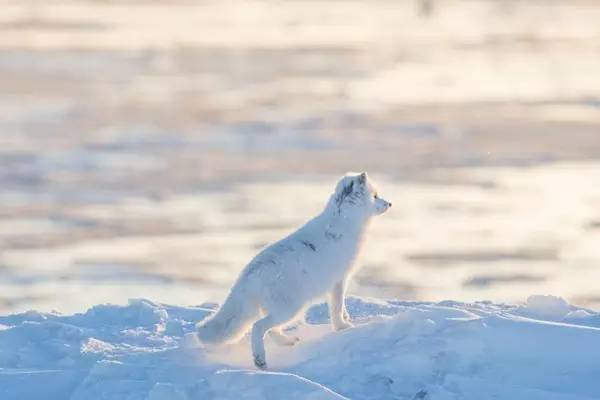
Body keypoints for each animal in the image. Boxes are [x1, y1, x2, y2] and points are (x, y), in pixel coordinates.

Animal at [197, 172, 394, 368]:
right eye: (375, 196)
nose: (390, 204)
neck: (344, 220)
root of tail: (248, 273)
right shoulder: (339, 279)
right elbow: (337, 307)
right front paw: (342, 327)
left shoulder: (338, 281)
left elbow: (341, 306)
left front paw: (347, 318)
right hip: (290, 308)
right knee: (258, 327)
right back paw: (260, 359)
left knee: (271, 330)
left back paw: (287, 341)